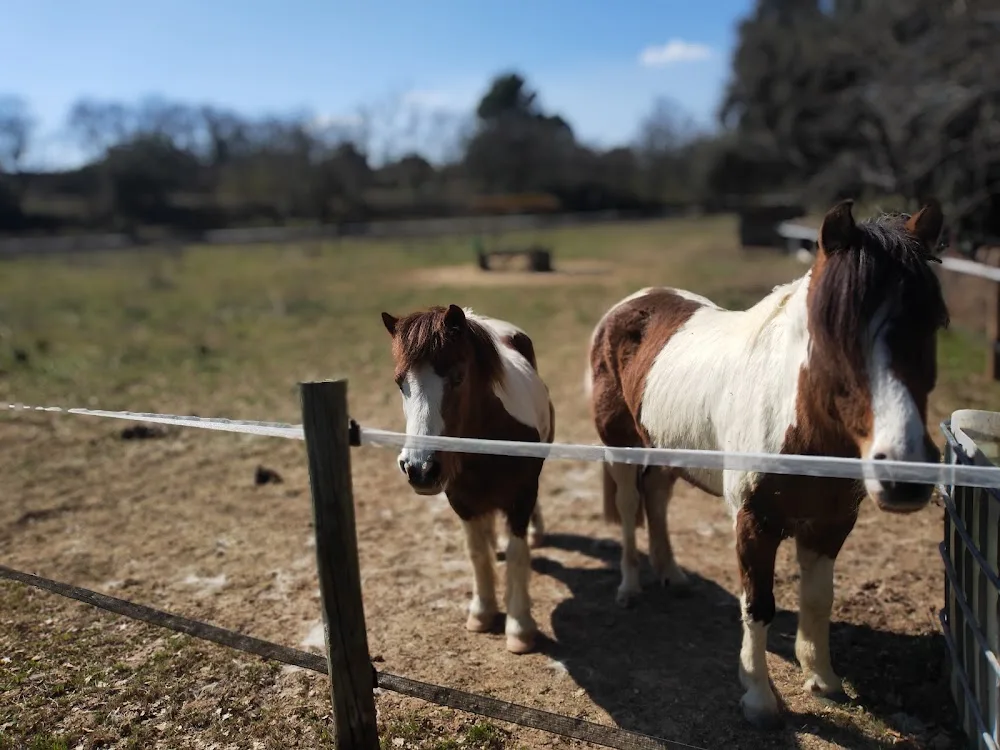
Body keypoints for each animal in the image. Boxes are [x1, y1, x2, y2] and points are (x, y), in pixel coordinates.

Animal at [381, 303, 555, 654]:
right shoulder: (460, 501)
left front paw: (519, 628)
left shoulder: (522, 497)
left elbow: (518, 556)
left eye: (458, 377)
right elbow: (476, 553)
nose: (420, 468)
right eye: (400, 383)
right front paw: (482, 612)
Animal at [585, 199, 948, 727]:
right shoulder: (753, 523)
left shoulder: (832, 524)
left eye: (933, 324)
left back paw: (672, 575)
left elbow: (818, 599)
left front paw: (824, 680)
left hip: (666, 449)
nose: (905, 477)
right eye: (830, 331)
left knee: (657, 500)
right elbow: (758, 604)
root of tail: (632, 304)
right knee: (633, 507)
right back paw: (630, 588)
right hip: (621, 448)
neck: (798, 424)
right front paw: (758, 698)